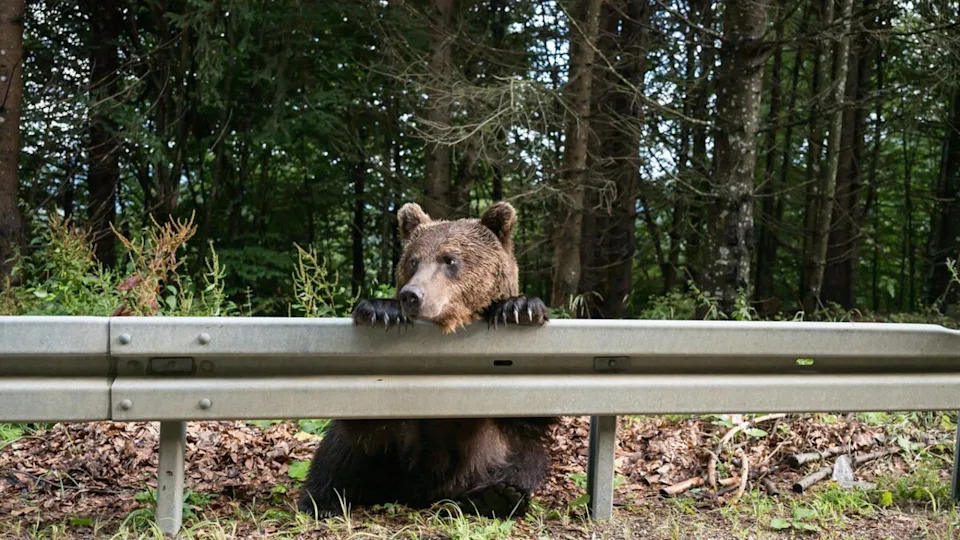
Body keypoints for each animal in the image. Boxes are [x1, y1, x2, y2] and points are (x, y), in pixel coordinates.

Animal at [297, 201, 554, 519]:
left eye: (450, 259)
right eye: (413, 261)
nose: (412, 295)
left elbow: (527, 417)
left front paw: (519, 308)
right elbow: (366, 424)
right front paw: (380, 310)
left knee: (525, 460)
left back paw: (495, 497)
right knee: (337, 453)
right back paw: (322, 501)